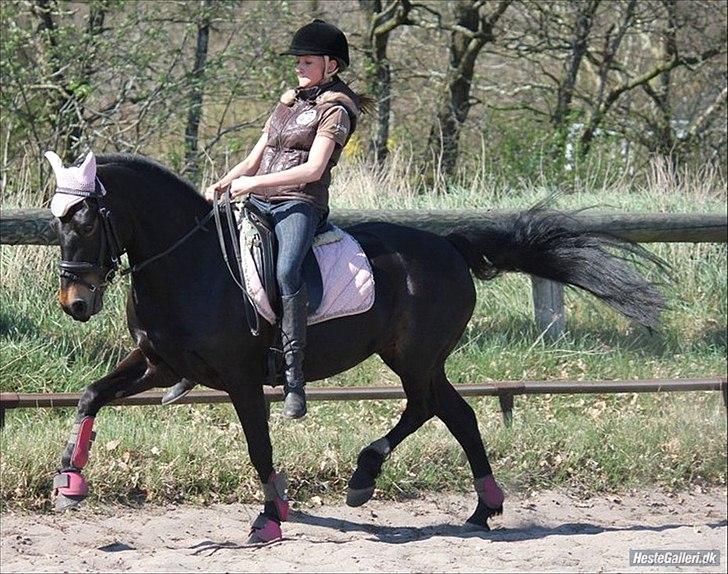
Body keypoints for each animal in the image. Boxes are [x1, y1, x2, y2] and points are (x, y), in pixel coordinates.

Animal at [45, 150, 664, 544]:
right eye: (56, 222)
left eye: (87, 220)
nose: (76, 302)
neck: (188, 264)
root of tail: (450, 247)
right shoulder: (156, 364)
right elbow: (90, 395)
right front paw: (70, 482)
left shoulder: (241, 379)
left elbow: (259, 447)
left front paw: (269, 519)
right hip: (422, 359)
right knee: (456, 413)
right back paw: (480, 507)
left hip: (412, 357)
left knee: (429, 407)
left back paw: (371, 477)